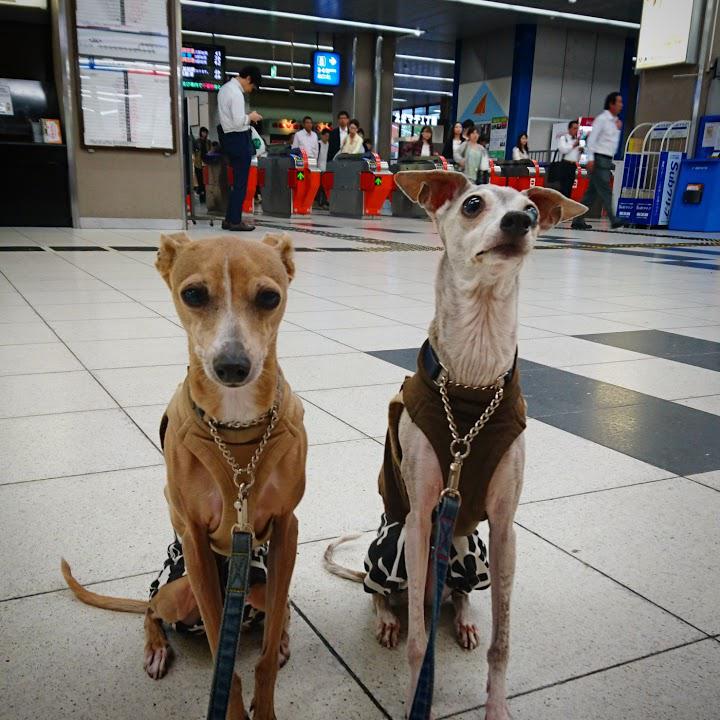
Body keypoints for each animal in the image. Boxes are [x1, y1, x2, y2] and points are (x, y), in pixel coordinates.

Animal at [62, 235, 306, 720]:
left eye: (270, 297)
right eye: (193, 293)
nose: (232, 366)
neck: (237, 428)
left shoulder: (287, 528)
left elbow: (265, 658)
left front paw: (266, 703)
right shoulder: (193, 541)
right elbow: (223, 666)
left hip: (260, 583)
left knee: (277, 607)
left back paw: (284, 634)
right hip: (178, 588)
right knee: (151, 609)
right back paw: (157, 647)